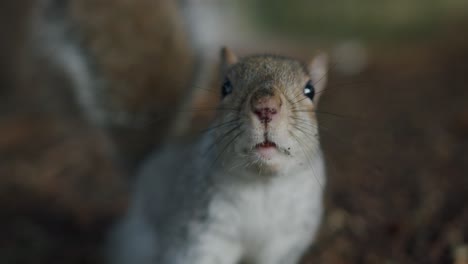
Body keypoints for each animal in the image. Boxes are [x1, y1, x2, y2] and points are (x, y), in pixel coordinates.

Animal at [109, 48, 330, 264]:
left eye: (310, 90)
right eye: (225, 87)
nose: (266, 107)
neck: (262, 182)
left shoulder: (285, 242)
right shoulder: (201, 232)